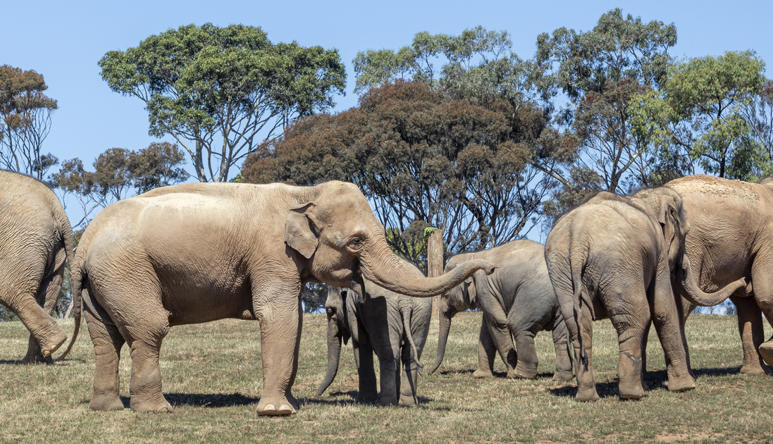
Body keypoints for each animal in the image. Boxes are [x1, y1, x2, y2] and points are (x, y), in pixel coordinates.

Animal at [0, 170, 74, 363]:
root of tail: (57, 209)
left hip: (21, 241)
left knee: (10, 290)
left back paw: (51, 347)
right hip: (54, 249)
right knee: (47, 296)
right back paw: (36, 359)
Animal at [68, 180, 494, 416]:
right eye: (356, 241)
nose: (487, 269)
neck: (303, 192)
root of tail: (86, 239)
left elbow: (295, 322)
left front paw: (292, 404)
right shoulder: (271, 254)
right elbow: (279, 315)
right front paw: (277, 413)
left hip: (103, 282)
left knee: (105, 338)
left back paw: (106, 408)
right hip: (126, 271)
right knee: (149, 329)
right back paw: (157, 410)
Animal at [428, 239, 573, 385]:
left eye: (446, 294)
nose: (428, 372)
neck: (472, 257)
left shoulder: (485, 287)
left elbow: (499, 322)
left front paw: (510, 374)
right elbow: (486, 329)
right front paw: (480, 375)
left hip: (535, 296)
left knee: (518, 324)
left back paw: (521, 375)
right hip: (562, 303)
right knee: (560, 335)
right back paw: (561, 378)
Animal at [544, 186, 746, 401]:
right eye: (685, 233)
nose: (744, 281)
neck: (645, 197)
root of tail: (578, 241)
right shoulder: (659, 254)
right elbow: (663, 309)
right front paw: (685, 387)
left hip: (561, 271)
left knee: (578, 325)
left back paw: (587, 397)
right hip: (619, 266)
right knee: (634, 317)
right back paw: (633, 394)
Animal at [667, 175, 773, 373]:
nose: (744, 280)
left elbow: (748, 302)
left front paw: (753, 373)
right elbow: (765, 293)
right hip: (691, 246)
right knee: (681, 304)